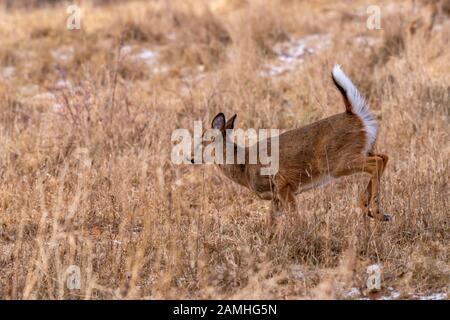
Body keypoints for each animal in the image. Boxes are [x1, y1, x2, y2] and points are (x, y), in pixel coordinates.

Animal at [193, 65, 390, 222]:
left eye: (202, 141)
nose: (191, 158)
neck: (244, 166)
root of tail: (355, 114)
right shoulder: (276, 197)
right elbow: (270, 223)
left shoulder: (283, 185)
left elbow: (294, 217)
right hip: (360, 150)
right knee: (383, 157)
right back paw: (370, 208)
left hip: (336, 162)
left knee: (376, 162)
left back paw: (376, 211)